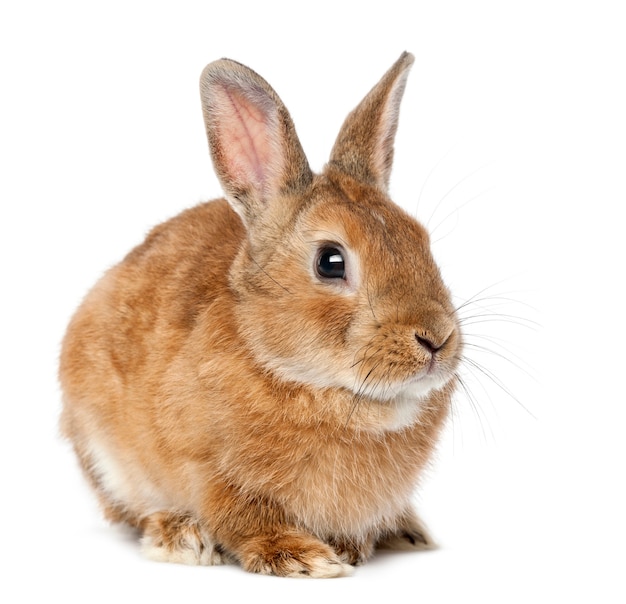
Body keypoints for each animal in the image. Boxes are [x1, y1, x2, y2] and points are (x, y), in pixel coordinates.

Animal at [59, 53, 458, 580]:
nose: (437, 339)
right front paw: (305, 559)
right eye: (331, 261)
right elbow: (244, 517)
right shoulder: (209, 470)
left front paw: (351, 547)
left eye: (421, 241)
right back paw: (178, 537)